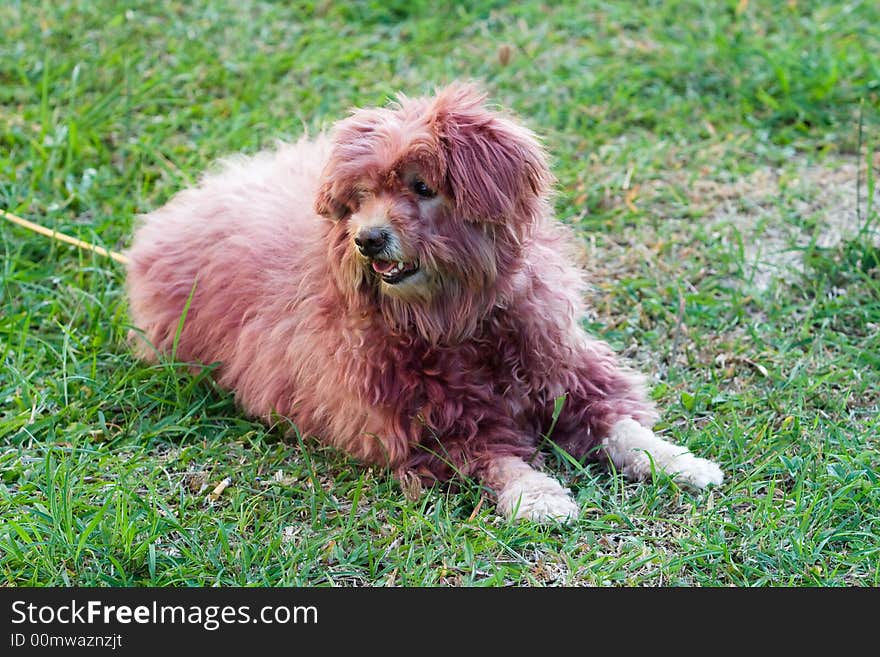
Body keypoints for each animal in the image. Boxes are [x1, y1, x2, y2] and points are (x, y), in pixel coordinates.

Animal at [129, 83, 720, 524]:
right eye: (358, 200)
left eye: (421, 186)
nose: (367, 240)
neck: (459, 323)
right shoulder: (430, 428)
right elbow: (498, 460)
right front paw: (540, 496)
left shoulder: (565, 369)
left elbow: (622, 427)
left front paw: (682, 463)